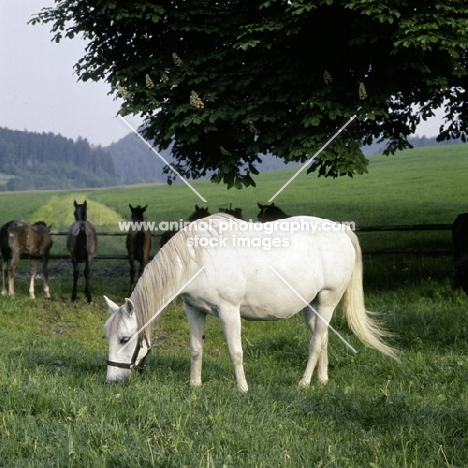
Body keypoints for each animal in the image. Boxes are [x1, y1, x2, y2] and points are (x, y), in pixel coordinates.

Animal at [104, 214, 396, 390]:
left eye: (124, 339)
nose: (112, 380)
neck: (199, 258)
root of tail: (341, 230)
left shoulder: (228, 311)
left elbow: (236, 352)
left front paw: (242, 388)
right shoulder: (194, 311)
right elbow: (196, 349)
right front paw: (194, 385)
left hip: (327, 301)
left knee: (315, 343)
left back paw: (303, 383)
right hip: (310, 307)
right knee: (322, 338)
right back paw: (322, 380)